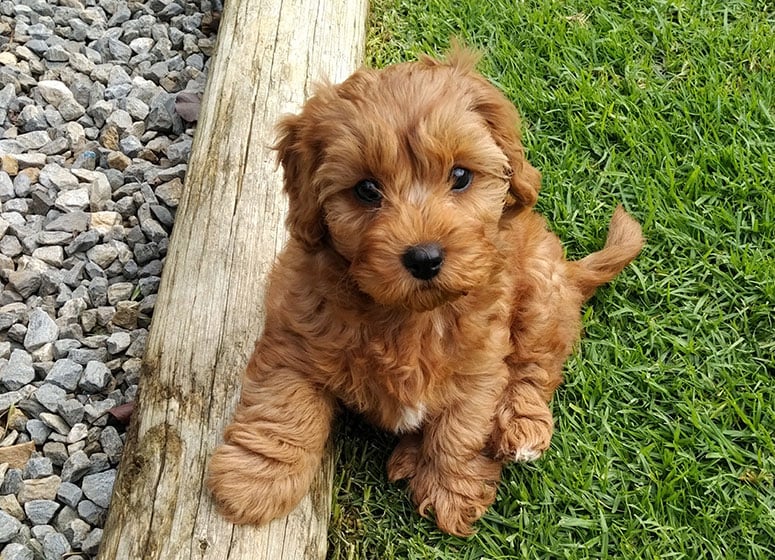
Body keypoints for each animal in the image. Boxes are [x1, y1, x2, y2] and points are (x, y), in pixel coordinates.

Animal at [208, 46, 644, 536]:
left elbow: (460, 429)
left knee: (534, 370)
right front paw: (253, 483)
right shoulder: (295, 340)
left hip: (540, 293)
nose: (424, 258)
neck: (408, 317)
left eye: (461, 175)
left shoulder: (480, 367)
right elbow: (282, 409)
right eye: (366, 189)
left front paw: (450, 490)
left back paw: (519, 429)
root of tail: (570, 272)